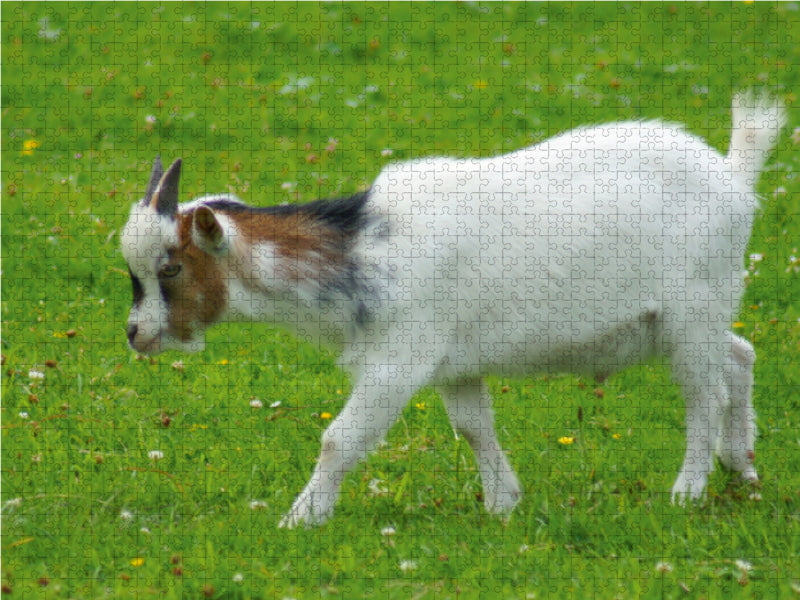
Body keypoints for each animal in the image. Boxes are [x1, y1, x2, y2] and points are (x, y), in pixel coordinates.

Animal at [122, 91, 784, 528]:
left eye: (170, 268)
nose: (135, 334)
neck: (361, 249)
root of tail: (733, 176)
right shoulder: (455, 363)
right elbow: (473, 427)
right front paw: (503, 505)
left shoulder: (399, 360)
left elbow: (341, 438)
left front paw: (300, 519)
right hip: (695, 317)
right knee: (740, 355)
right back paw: (742, 468)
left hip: (692, 314)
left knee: (705, 394)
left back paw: (688, 491)